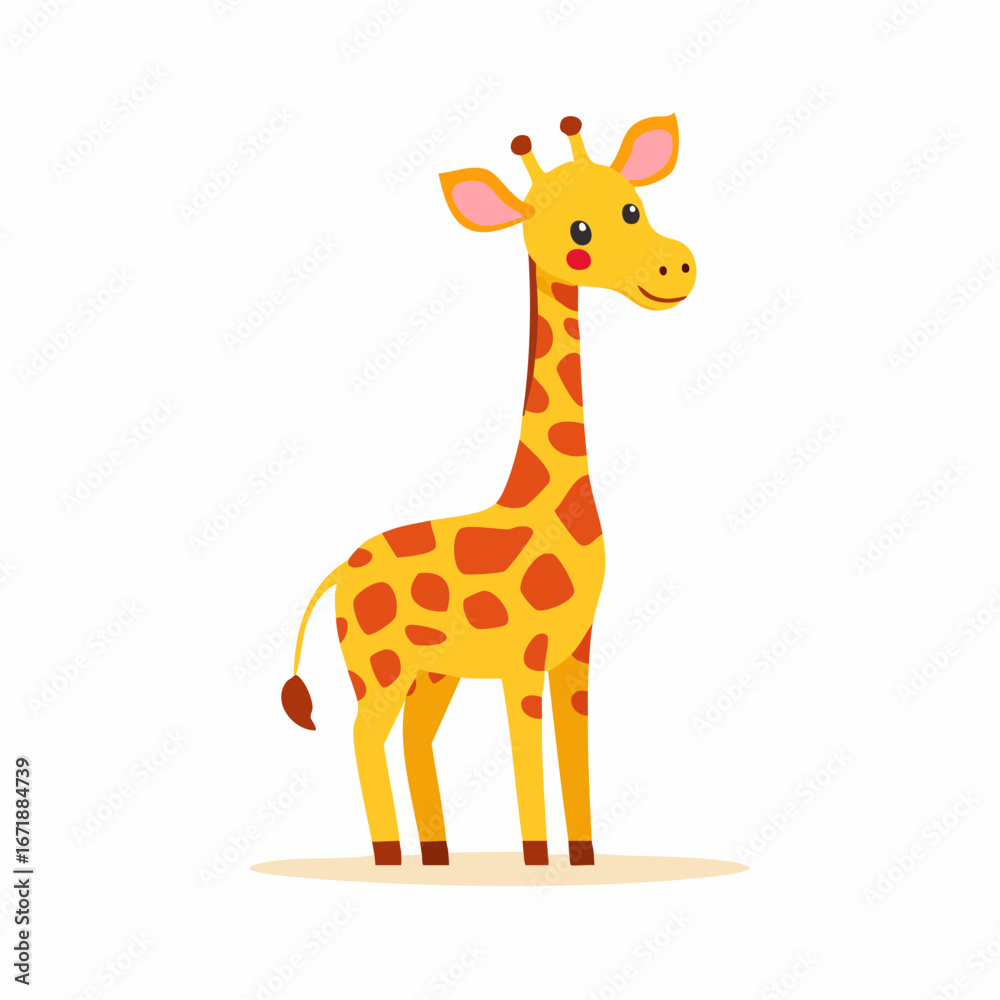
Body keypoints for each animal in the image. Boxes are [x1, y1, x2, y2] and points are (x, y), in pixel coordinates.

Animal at [281, 115, 695, 867]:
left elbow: (574, 749)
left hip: (433, 673)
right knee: (364, 737)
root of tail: (338, 573)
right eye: (578, 231)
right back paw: (390, 855)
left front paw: (581, 857)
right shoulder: (522, 659)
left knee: (413, 737)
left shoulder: (575, 650)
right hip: (378, 668)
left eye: (633, 207)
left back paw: (438, 854)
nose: (674, 267)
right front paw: (536, 859)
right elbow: (526, 751)